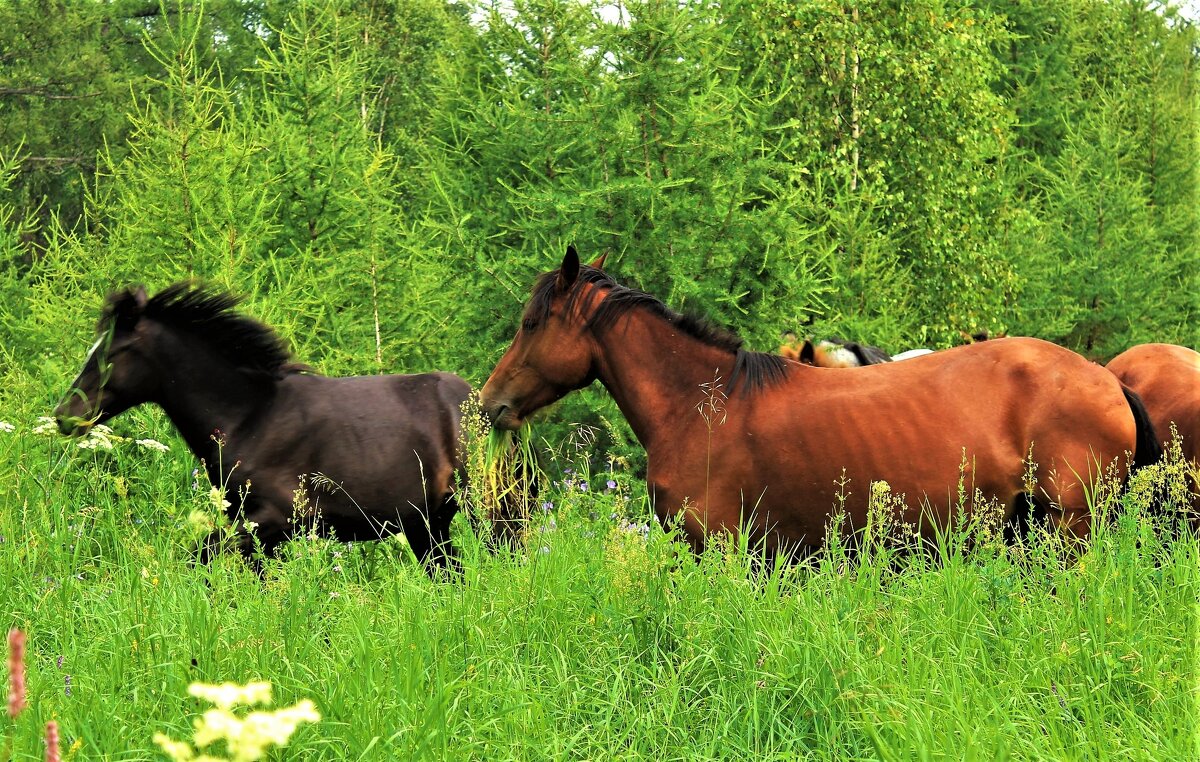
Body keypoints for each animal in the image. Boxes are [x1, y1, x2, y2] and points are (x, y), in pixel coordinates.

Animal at [55, 285, 468, 578]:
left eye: (112, 353)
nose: (64, 416)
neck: (250, 417)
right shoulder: (261, 533)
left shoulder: (273, 522)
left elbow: (202, 555)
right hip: (427, 526)